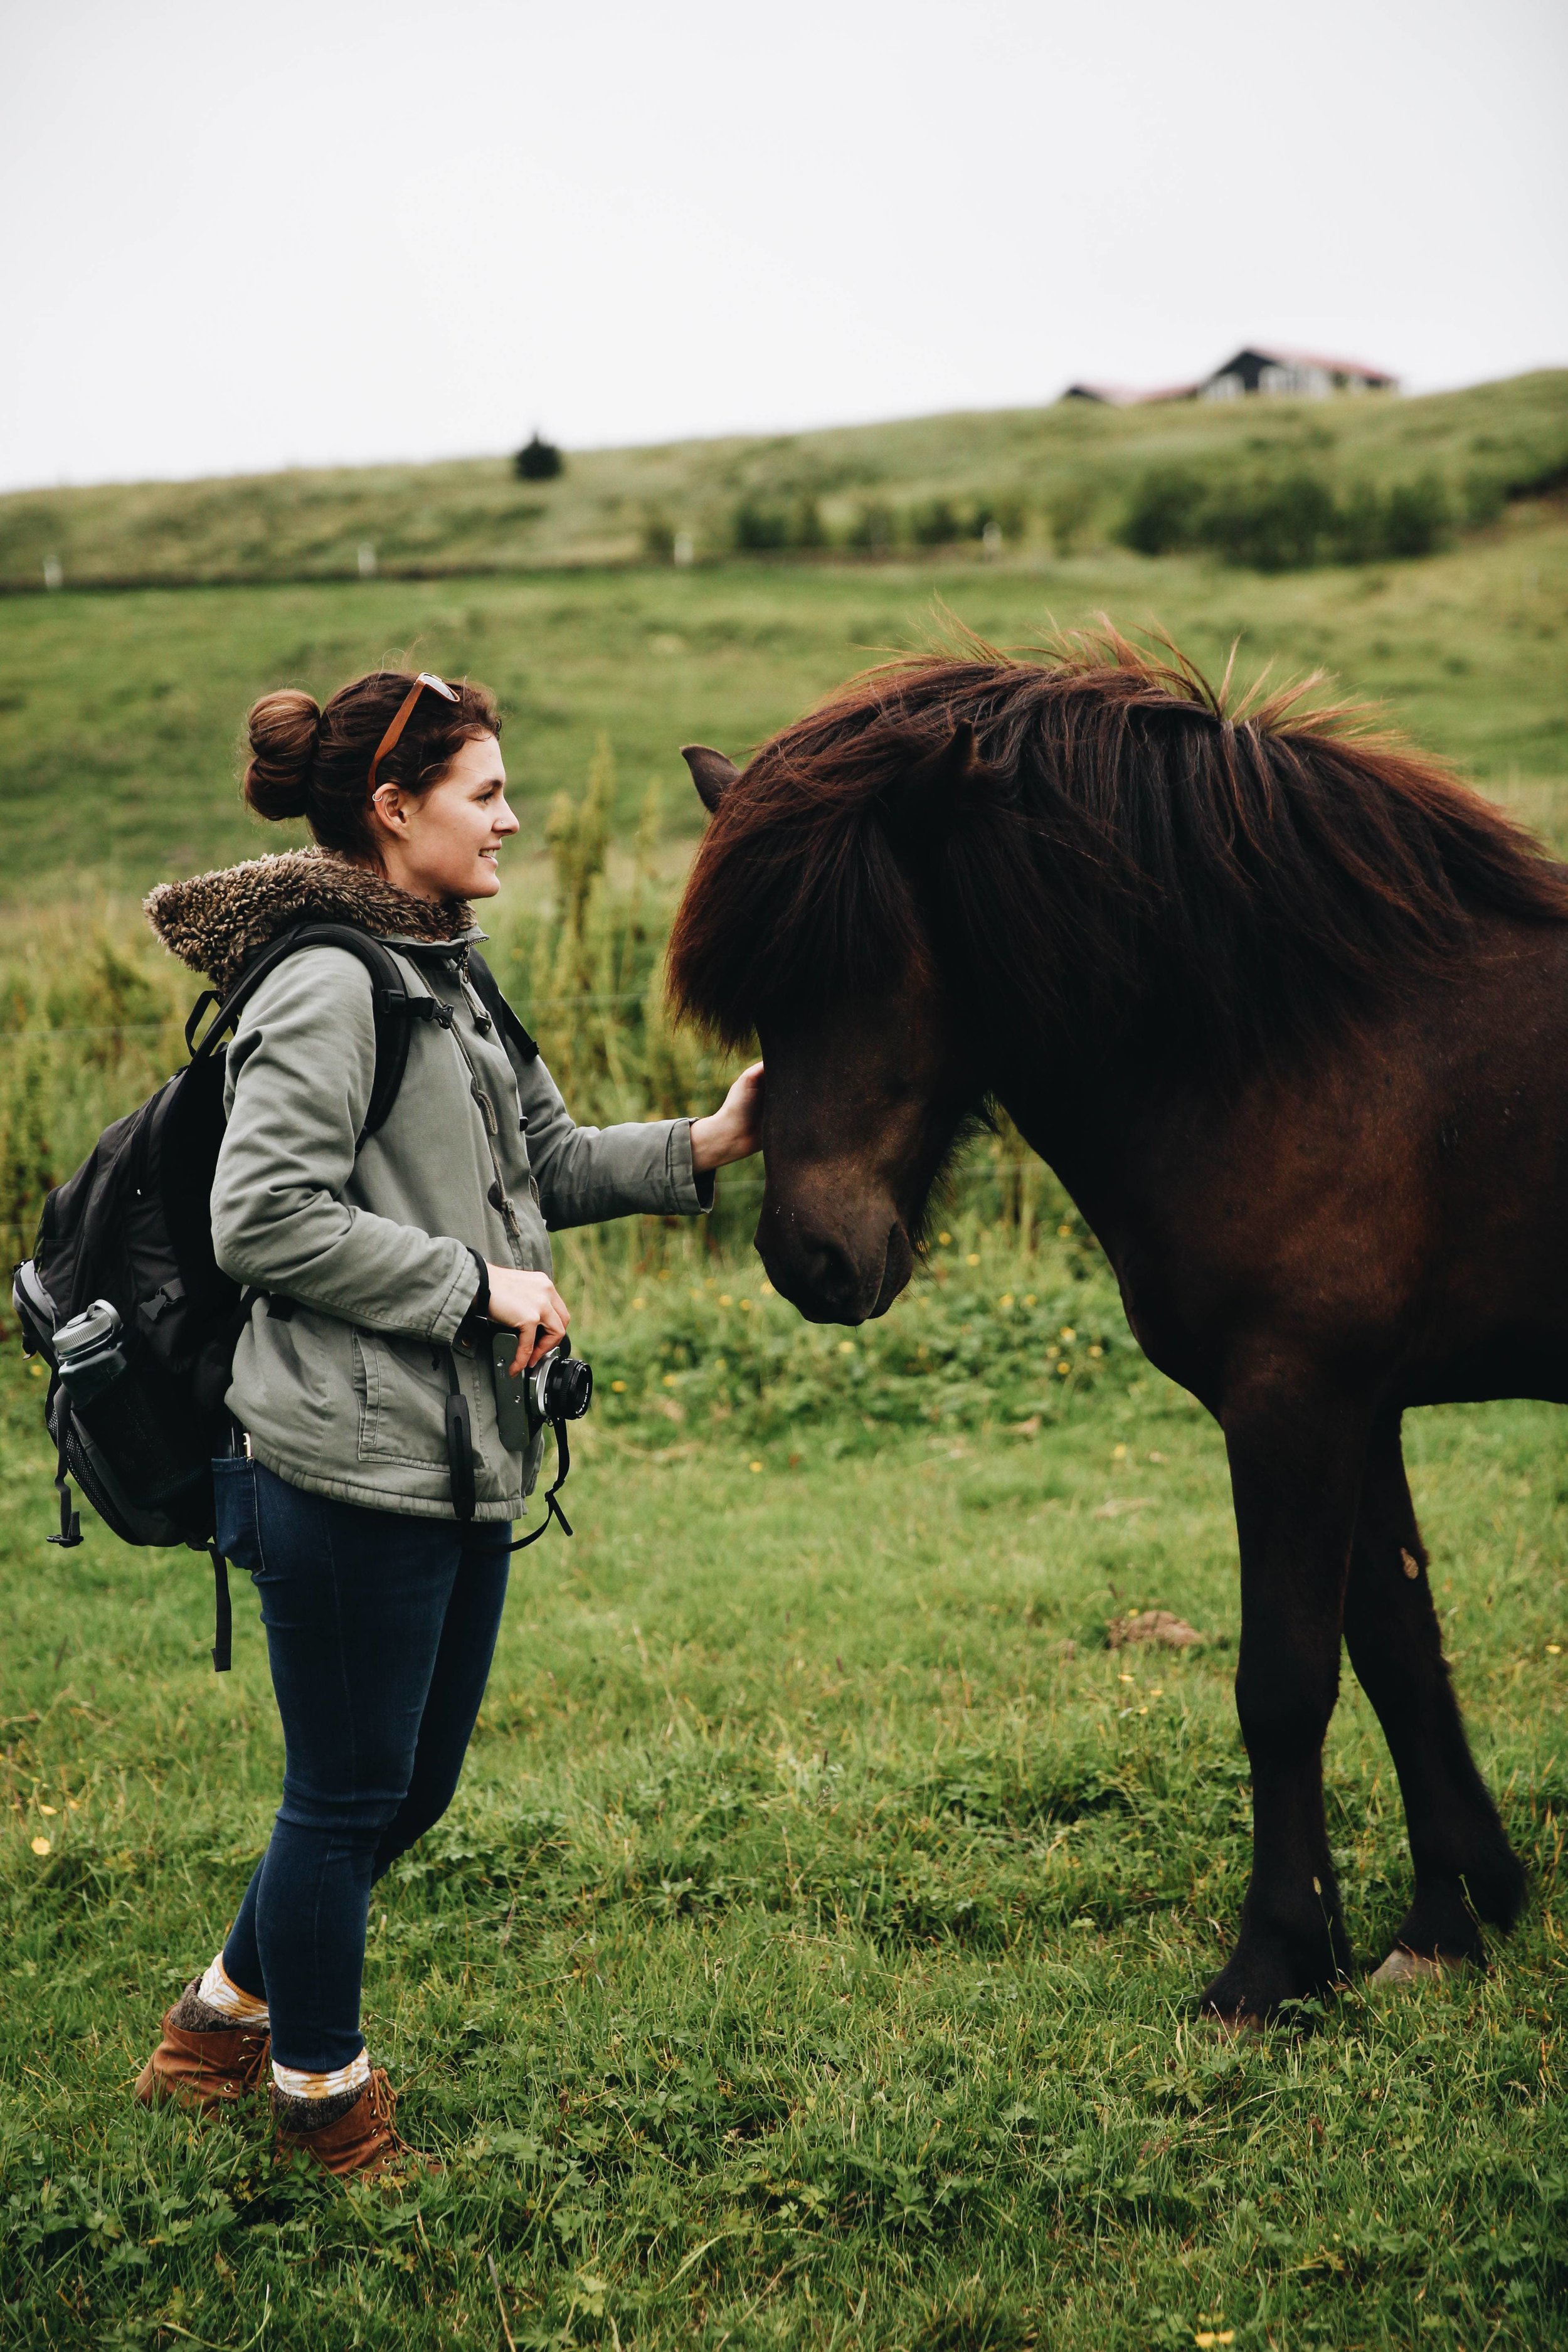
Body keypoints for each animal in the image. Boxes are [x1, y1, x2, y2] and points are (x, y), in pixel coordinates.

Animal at [667, 630, 1568, 2023]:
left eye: (866, 968)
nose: (808, 1258)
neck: (1307, 1044)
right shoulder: (1361, 1408)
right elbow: (1400, 1650)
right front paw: (1448, 1917)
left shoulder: (1294, 1401)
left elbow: (1284, 1682)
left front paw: (1270, 1967)